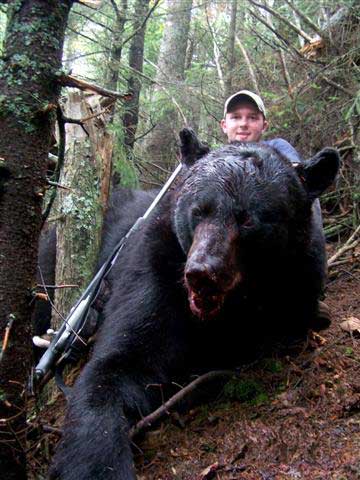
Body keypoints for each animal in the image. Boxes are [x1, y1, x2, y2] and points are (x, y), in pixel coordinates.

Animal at [50, 130, 340, 480]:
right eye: (199, 210)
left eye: (247, 219)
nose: (203, 273)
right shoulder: (156, 265)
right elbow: (120, 363)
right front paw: (99, 464)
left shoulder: (299, 277)